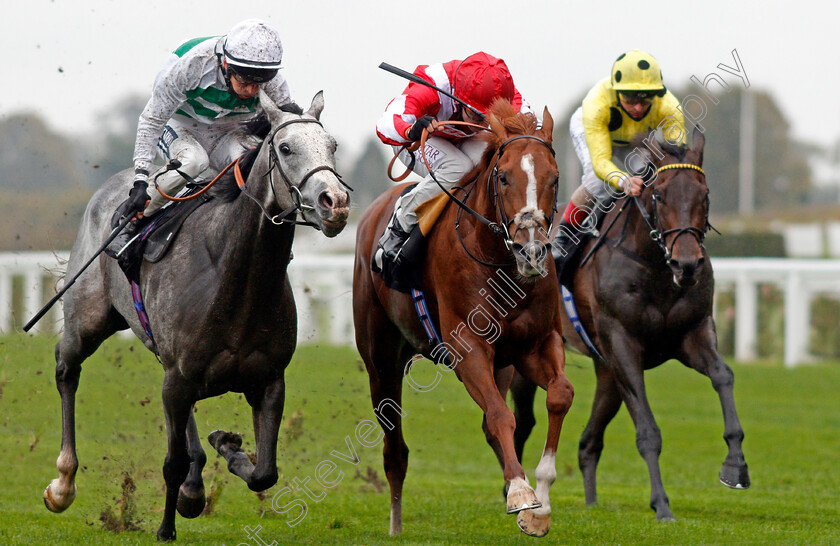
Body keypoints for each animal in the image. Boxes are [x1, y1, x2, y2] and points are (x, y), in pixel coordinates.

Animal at [41, 91, 352, 536]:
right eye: (285, 148)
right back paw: (63, 484)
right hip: (89, 320)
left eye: (332, 146)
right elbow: (172, 463)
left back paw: (194, 484)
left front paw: (224, 446)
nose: (335, 203)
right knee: (67, 369)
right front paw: (166, 528)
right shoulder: (179, 379)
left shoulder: (268, 380)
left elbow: (265, 472)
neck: (235, 279)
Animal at [352, 101, 576, 536]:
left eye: (554, 178)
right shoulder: (467, 347)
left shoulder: (535, 344)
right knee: (394, 449)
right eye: (503, 177)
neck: (500, 262)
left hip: (503, 365)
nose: (532, 252)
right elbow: (501, 415)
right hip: (381, 361)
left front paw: (539, 504)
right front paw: (521, 494)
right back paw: (395, 524)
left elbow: (559, 394)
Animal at [502, 126, 752, 520]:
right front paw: (661, 504)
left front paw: (735, 467)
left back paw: (590, 501)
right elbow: (648, 431)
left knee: (588, 441)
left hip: (606, 373)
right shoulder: (623, 346)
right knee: (524, 421)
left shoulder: (692, 334)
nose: (687, 264)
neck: (655, 269)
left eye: (705, 194)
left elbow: (723, 375)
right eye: (659, 195)